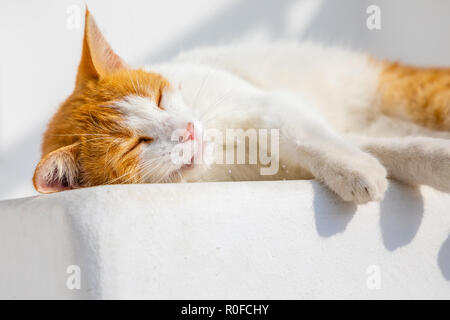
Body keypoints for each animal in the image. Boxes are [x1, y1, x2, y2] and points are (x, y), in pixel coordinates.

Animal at [33, 10, 450, 205]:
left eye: (158, 98)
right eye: (136, 143)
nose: (186, 129)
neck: (227, 151)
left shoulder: (274, 106)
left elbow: (313, 137)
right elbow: (372, 149)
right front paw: (363, 169)